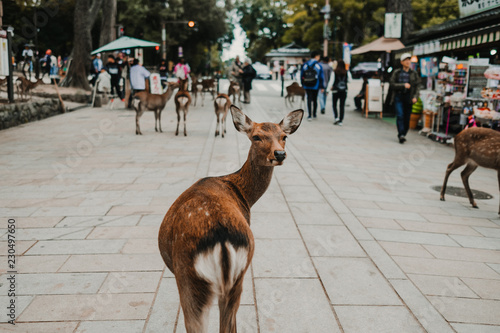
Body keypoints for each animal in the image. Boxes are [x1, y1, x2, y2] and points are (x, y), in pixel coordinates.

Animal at [158, 105, 302, 330]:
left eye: (284, 136)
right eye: (256, 136)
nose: (280, 153)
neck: (243, 194)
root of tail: (222, 242)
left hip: (188, 279)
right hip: (237, 279)